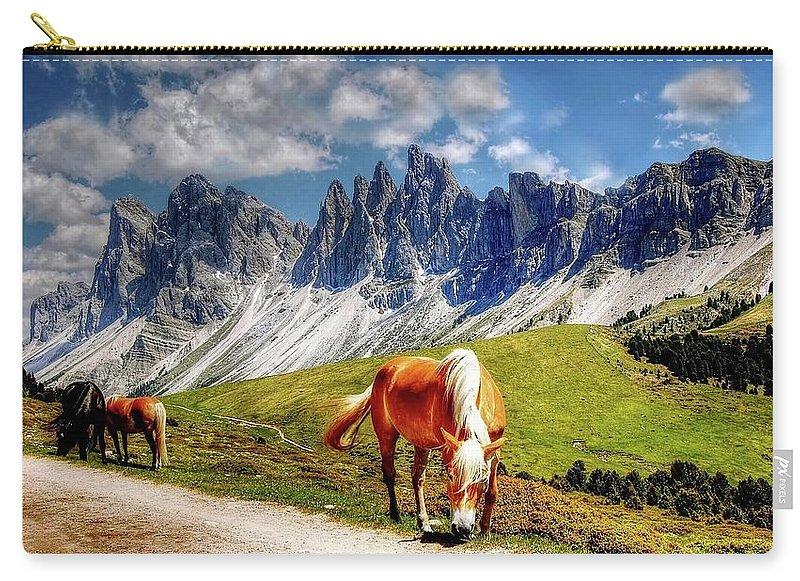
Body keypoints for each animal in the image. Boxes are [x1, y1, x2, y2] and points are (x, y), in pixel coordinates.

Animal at [324, 348, 506, 542]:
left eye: (482, 480)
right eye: (450, 476)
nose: (462, 529)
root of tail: (386, 368)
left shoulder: (494, 451)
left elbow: (492, 492)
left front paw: (485, 530)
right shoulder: (447, 449)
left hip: (422, 444)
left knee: (417, 478)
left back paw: (423, 522)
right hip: (386, 435)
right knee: (390, 474)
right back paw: (396, 515)